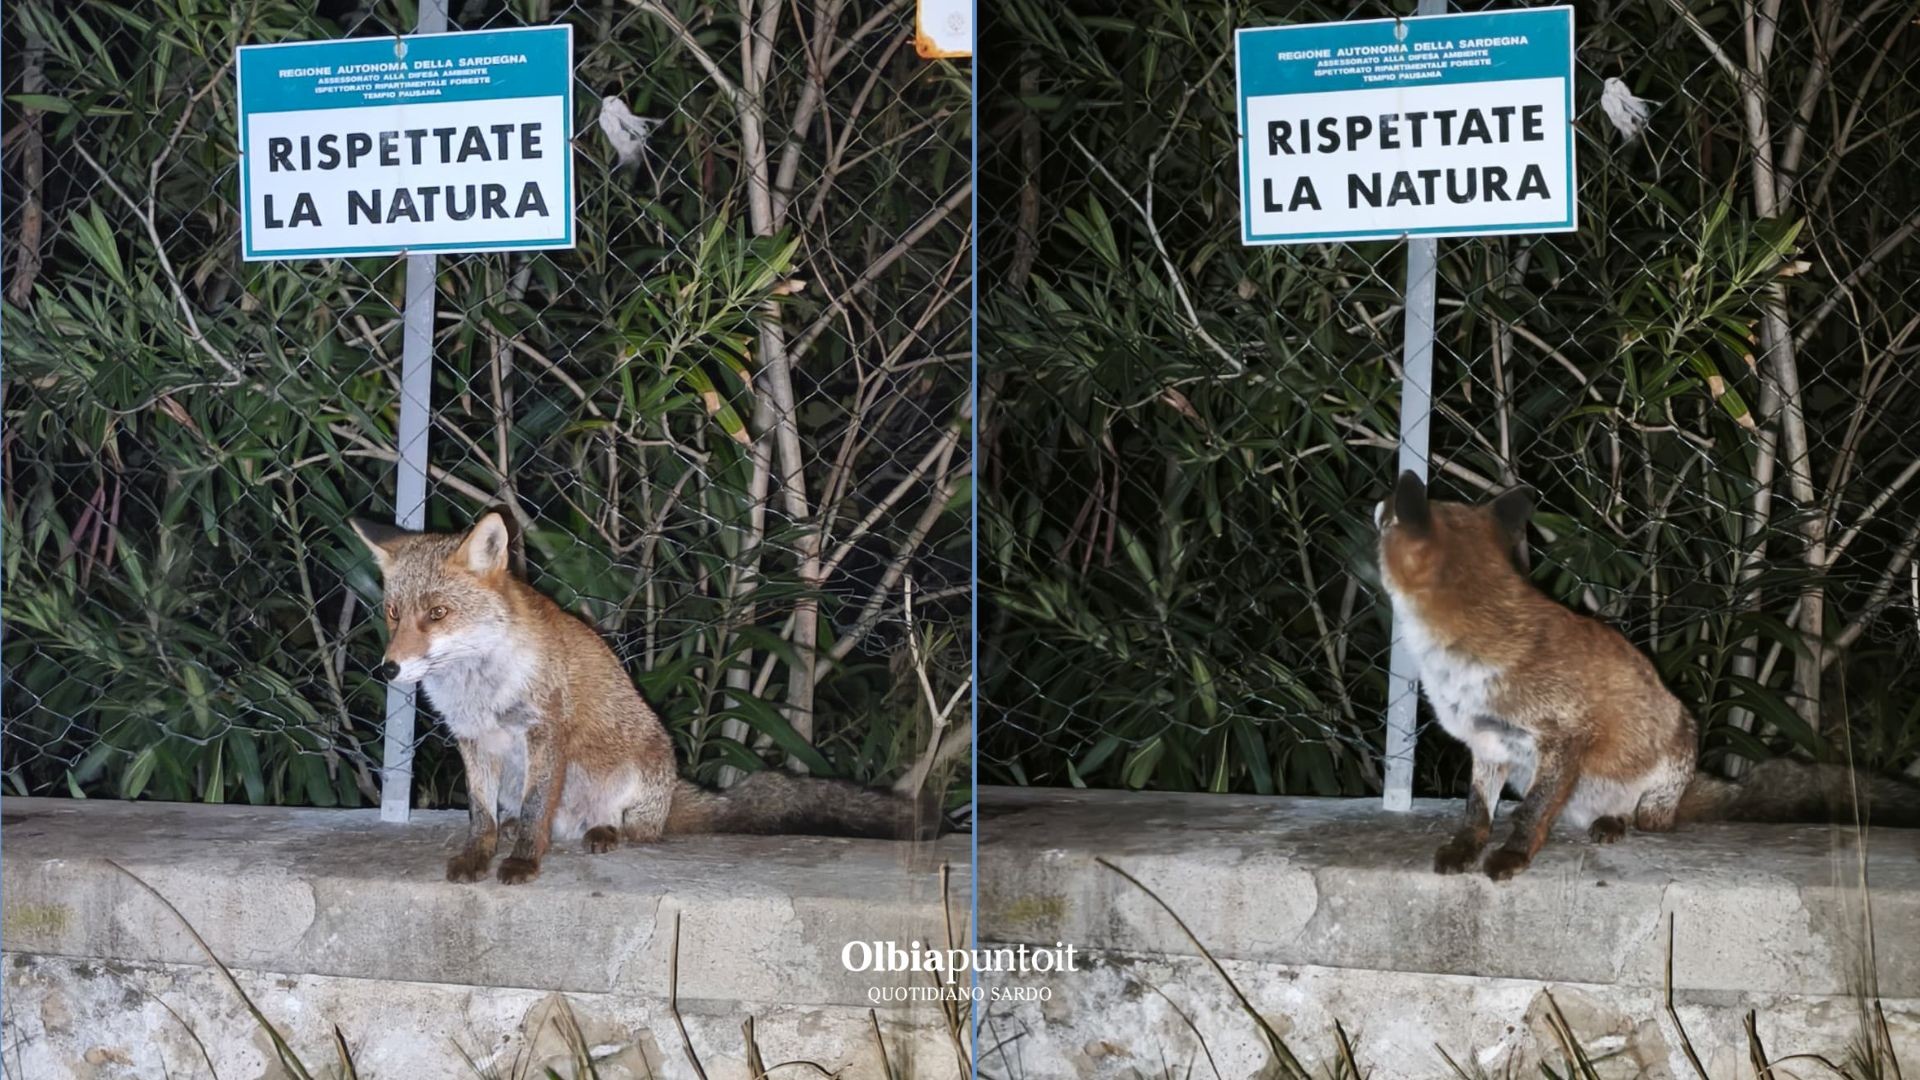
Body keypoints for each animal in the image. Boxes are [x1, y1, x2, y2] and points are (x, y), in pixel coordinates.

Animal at [351, 511, 935, 885]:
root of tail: (674, 793)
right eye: (394, 613)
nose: (388, 668)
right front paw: (480, 856)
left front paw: (520, 865)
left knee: (638, 831)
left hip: (636, 768)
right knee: (530, 818)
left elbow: (536, 810)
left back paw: (607, 832)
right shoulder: (473, 740)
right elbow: (480, 816)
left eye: (439, 614)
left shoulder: (545, 732)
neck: (479, 688)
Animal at [1375, 471, 1919, 881]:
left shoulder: (1565, 735)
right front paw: (1467, 848)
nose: (1377, 501)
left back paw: (1616, 823)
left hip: (1654, 788)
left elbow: (1531, 815)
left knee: (1640, 819)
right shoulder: (1488, 743)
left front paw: (1510, 857)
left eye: (1385, 515)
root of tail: (1685, 795)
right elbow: (1476, 812)